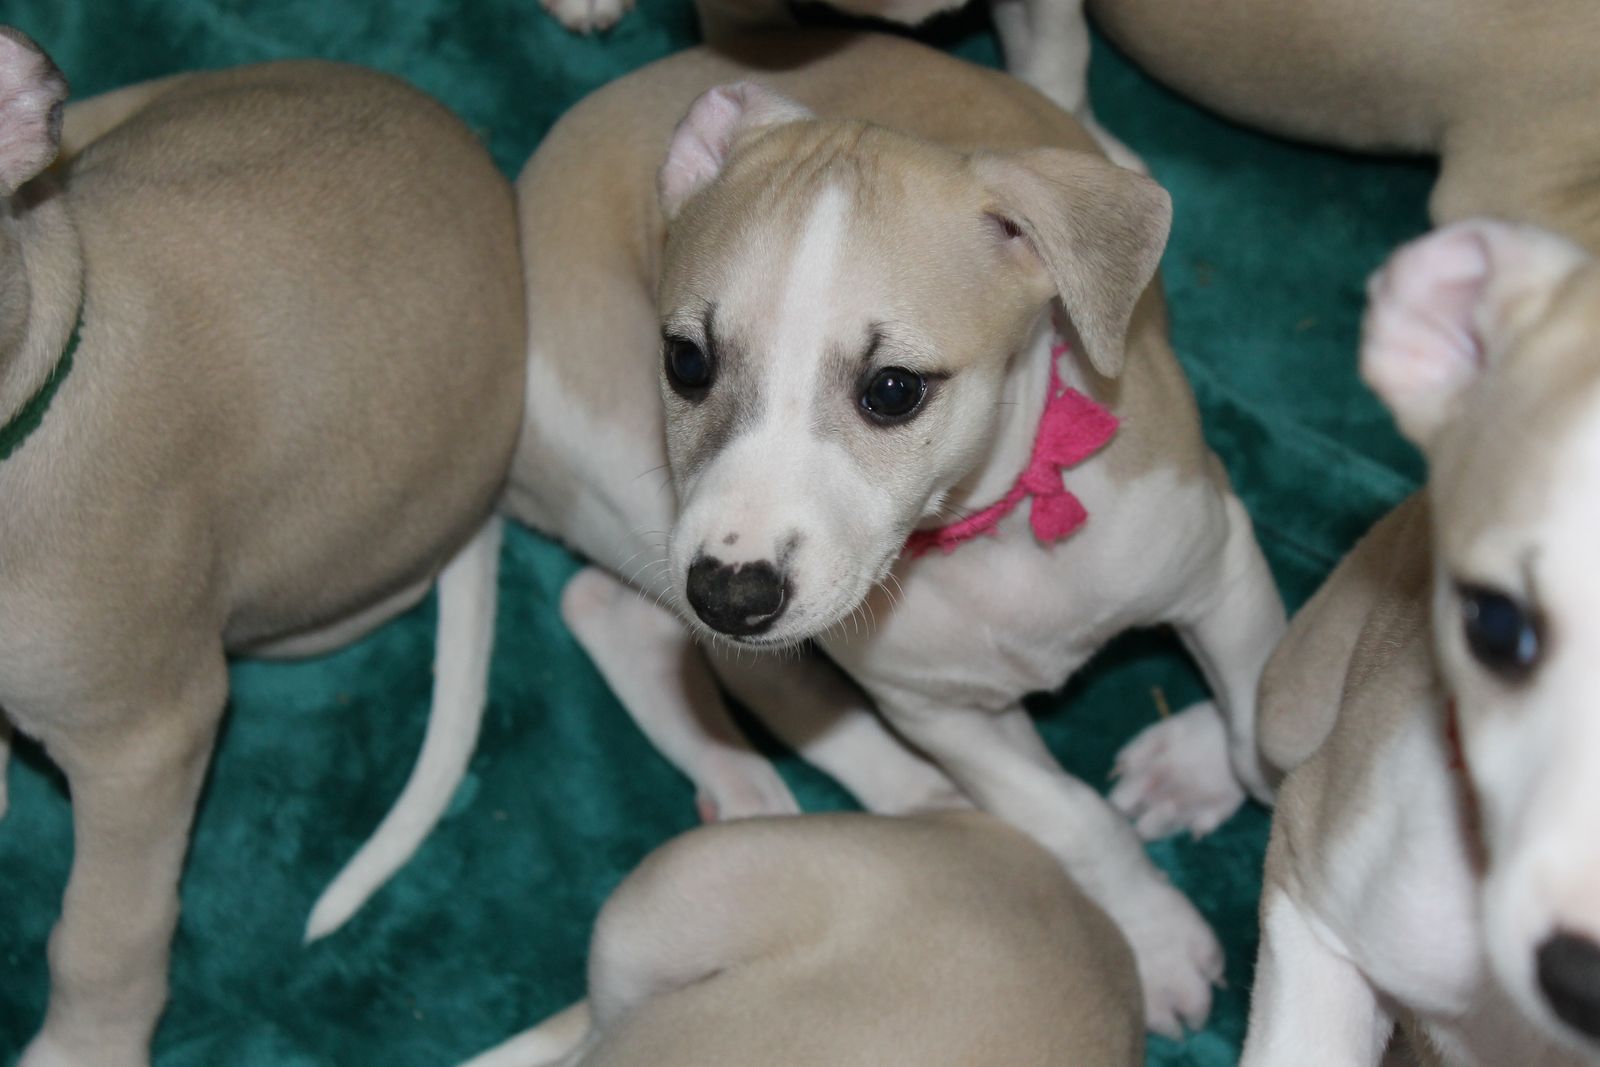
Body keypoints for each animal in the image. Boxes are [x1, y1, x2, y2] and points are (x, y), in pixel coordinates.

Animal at [317, 31, 1287, 1036]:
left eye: (893, 389)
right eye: (686, 360)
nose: (730, 593)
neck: (992, 528)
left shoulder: (1219, 566)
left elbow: (1265, 718)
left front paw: (1208, 775)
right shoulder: (934, 707)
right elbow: (1071, 813)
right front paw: (1158, 938)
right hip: (632, 477)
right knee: (646, 627)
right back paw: (866, 796)